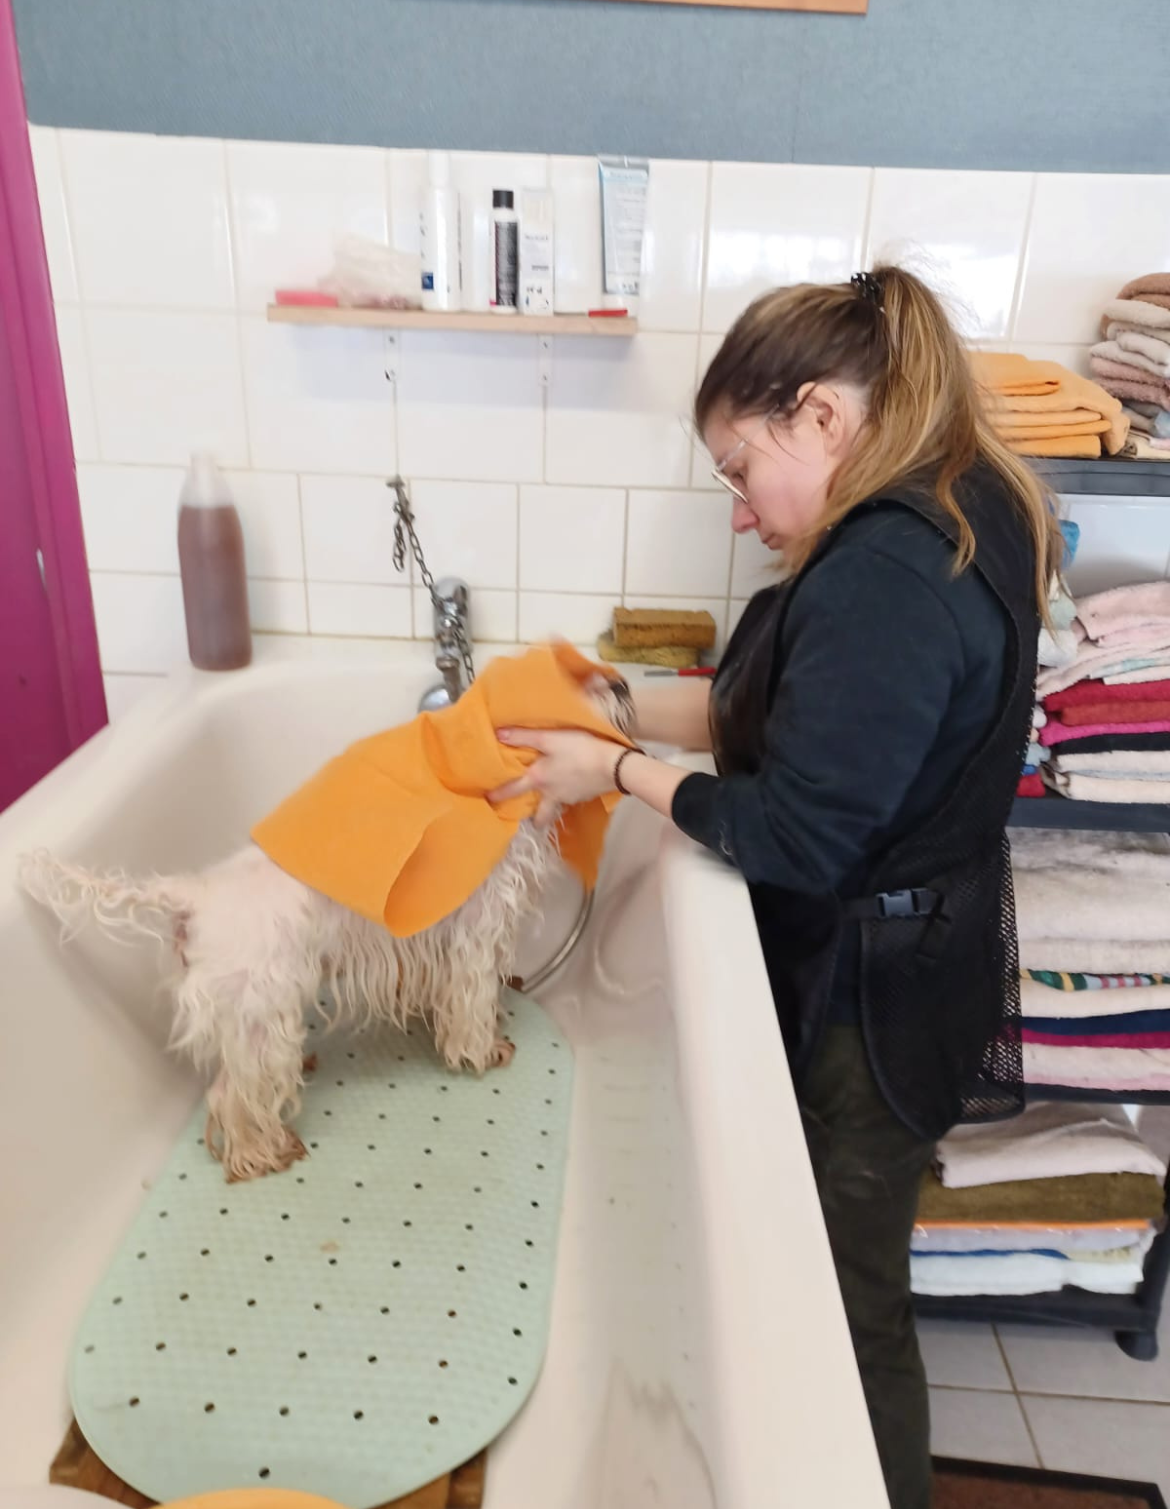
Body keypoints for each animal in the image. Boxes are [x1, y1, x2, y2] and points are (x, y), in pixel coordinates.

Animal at [20, 674, 633, 1183]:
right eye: (573, 683)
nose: (624, 684)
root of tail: (193, 896)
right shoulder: (477, 931)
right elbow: (472, 998)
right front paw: (483, 1049)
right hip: (260, 1007)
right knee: (231, 1095)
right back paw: (261, 1153)